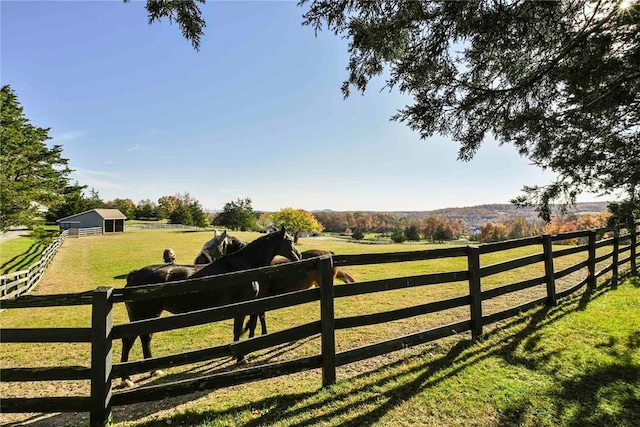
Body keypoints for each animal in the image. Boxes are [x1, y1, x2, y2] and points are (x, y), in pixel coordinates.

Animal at [121, 227, 302, 388]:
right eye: (289, 241)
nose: (299, 256)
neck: (242, 266)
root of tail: (135, 275)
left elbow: (237, 330)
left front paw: (236, 356)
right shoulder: (242, 306)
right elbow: (239, 329)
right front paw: (241, 358)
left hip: (150, 315)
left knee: (146, 337)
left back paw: (153, 370)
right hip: (142, 315)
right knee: (128, 340)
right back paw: (126, 379)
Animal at [195, 232, 356, 340]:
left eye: (210, 247)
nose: (197, 262)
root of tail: (329, 253)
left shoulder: (259, 299)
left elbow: (256, 318)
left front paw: (252, 335)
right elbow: (259, 317)